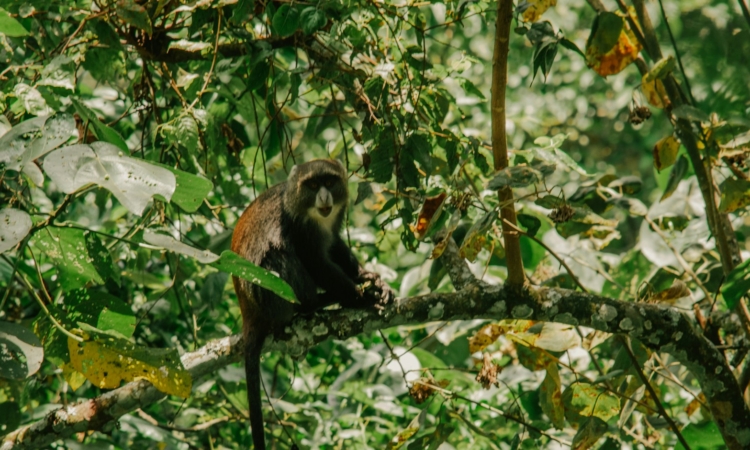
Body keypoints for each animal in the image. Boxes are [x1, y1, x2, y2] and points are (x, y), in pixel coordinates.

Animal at [231, 159, 391, 449]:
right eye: (313, 185)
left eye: (328, 182)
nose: (324, 197)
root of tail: (249, 313)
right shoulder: (298, 228)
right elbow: (315, 260)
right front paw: (361, 296)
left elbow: (335, 246)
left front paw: (370, 279)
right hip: (267, 295)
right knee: (276, 256)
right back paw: (317, 303)